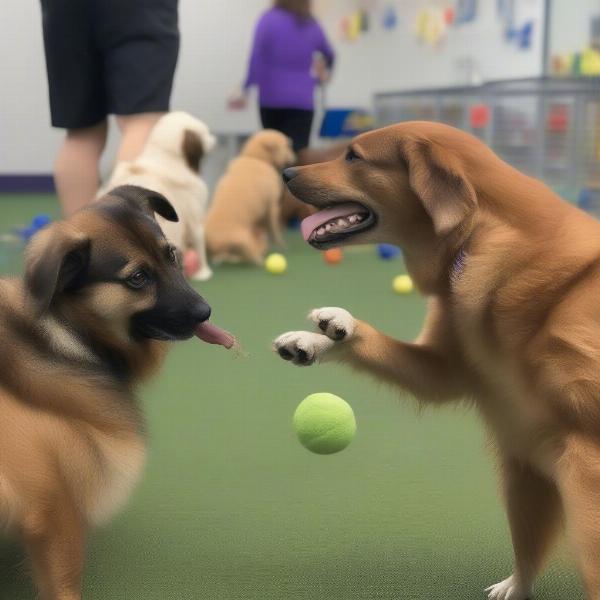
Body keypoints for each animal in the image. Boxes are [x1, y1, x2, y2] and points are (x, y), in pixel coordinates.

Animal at [100, 111, 216, 280]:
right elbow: (199, 242)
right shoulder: (194, 217)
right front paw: (204, 272)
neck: (165, 157)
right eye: (205, 133)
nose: (214, 139)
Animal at [205, 130, 296, 264]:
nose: (294, 159)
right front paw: (280, 244)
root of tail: (216, 244)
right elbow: (274, 229)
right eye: (286, 145)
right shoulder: (272, 206)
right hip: (244, 241)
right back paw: (259, 259)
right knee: (249, 256)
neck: (255, 157)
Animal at [276, 122, 600, 600]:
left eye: (354, 156)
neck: (479, 236)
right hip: (520, 472)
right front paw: (322, 337)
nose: (285, 171)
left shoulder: (583, 460)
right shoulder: (455, 380)